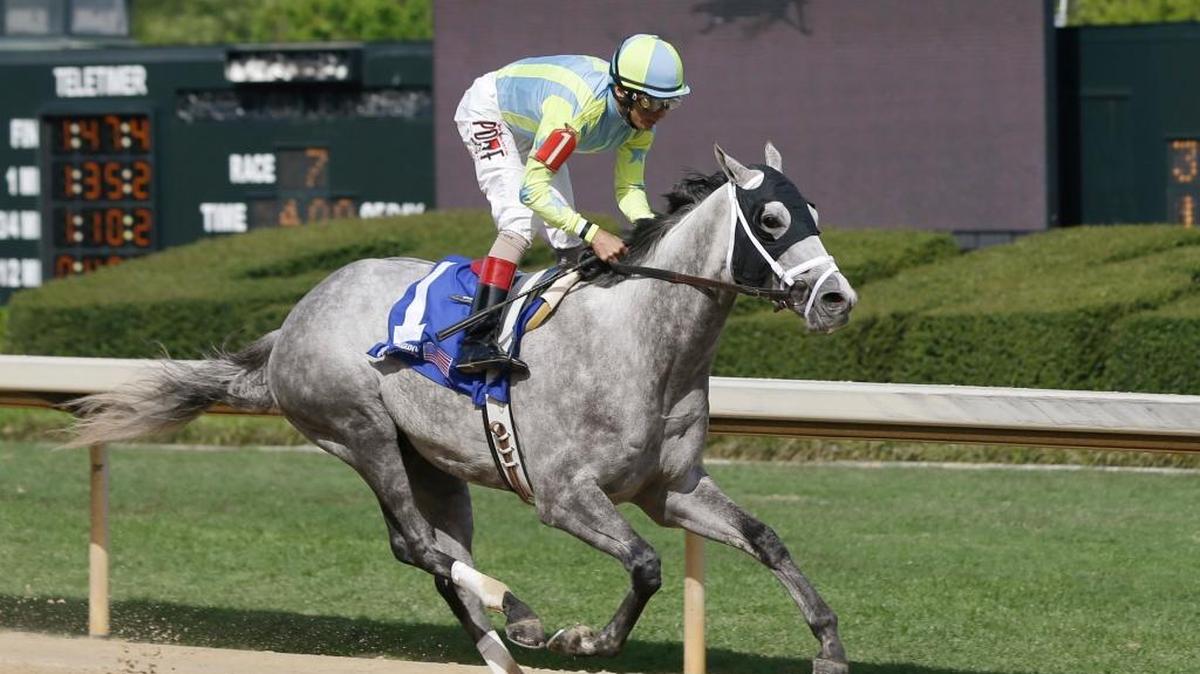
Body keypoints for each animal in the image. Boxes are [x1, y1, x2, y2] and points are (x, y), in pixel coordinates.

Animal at [68, 143, 857, 674]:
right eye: (773, 218)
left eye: (816, 211)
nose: (837, 299)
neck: (643, 341)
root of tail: (291, 323)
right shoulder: (565, 496)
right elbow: (646, 565)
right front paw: (585, 638)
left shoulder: (673, 488)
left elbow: (766, 539)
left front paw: (829, 643)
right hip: (359, 433)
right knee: (420, 546)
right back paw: (522, 615)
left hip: (432, 464)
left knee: (435, 552)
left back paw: (504, 648)